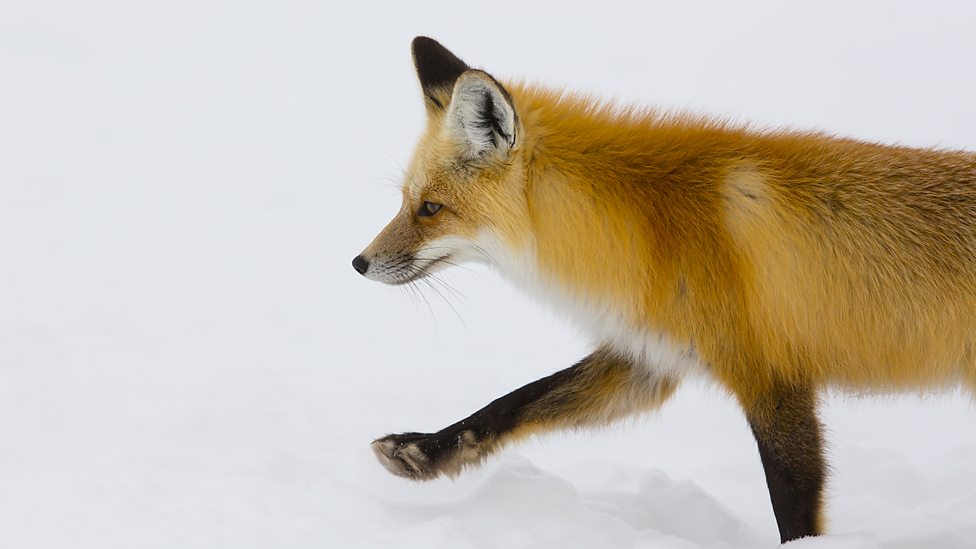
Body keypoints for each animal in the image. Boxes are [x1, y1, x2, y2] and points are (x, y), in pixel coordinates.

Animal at [354, 36, 976, 540]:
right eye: (406, 202)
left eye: (431, 209)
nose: (358, 263)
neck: (646, 228)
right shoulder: (650, 357)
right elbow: (519, 400)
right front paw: (424, 451)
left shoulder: (773, 380)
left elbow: (794, 508)